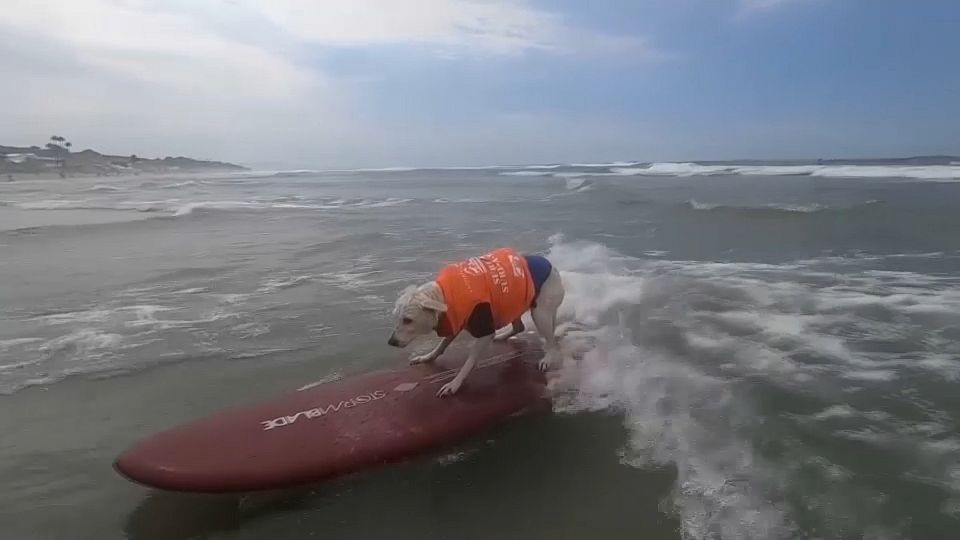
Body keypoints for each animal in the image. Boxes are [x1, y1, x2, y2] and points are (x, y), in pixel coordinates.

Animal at [386, 248, 564, 396]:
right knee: (519, 327)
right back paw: (502, 336)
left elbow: (469, 362)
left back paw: (547, 358)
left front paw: (454, 384)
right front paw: (427, 357)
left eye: (408, 320)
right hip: (515, 302)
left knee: (551, 341)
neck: (443, 295)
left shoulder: (483, 329)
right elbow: (442, 345)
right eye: (396, 318)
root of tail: (553, 268)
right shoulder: (456, 320)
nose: (391, 342)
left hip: (540, 313)